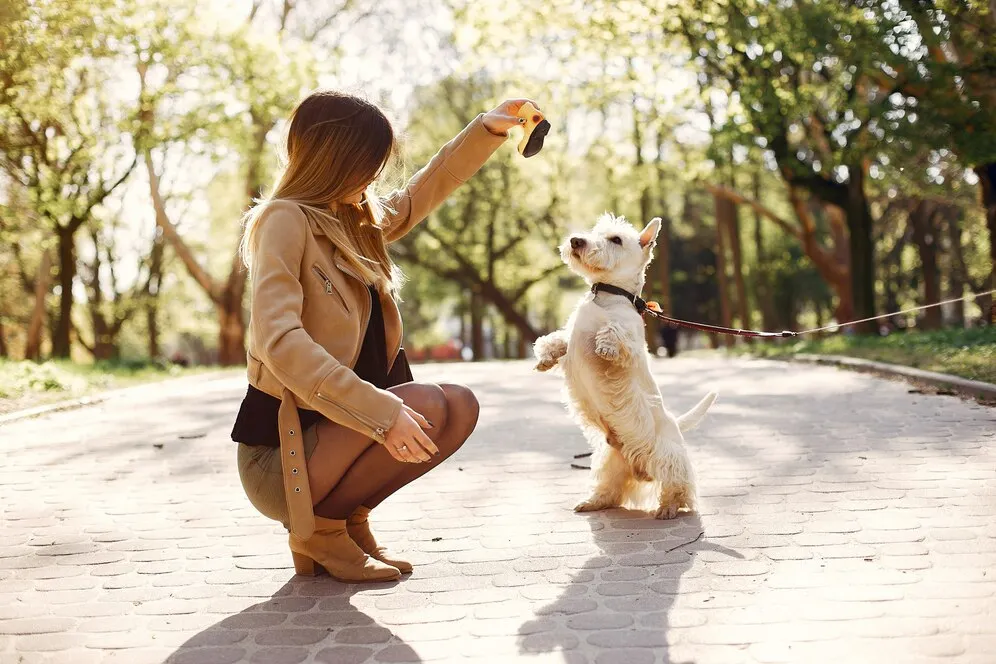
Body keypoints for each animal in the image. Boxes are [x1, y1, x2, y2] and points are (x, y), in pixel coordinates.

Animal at [532, 213, 720, 520]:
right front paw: (545, 359)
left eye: (616, 239)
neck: (606, 293)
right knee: (611, 488)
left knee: (678, 485)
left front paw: (605, 346)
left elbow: (614, 331)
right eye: (595, 232)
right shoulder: (570, 338)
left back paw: (668, 508)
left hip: (667, 455)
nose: (576, 241)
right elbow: (555, 339)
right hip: (610, 461)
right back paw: (592, 502)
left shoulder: (631, 342)